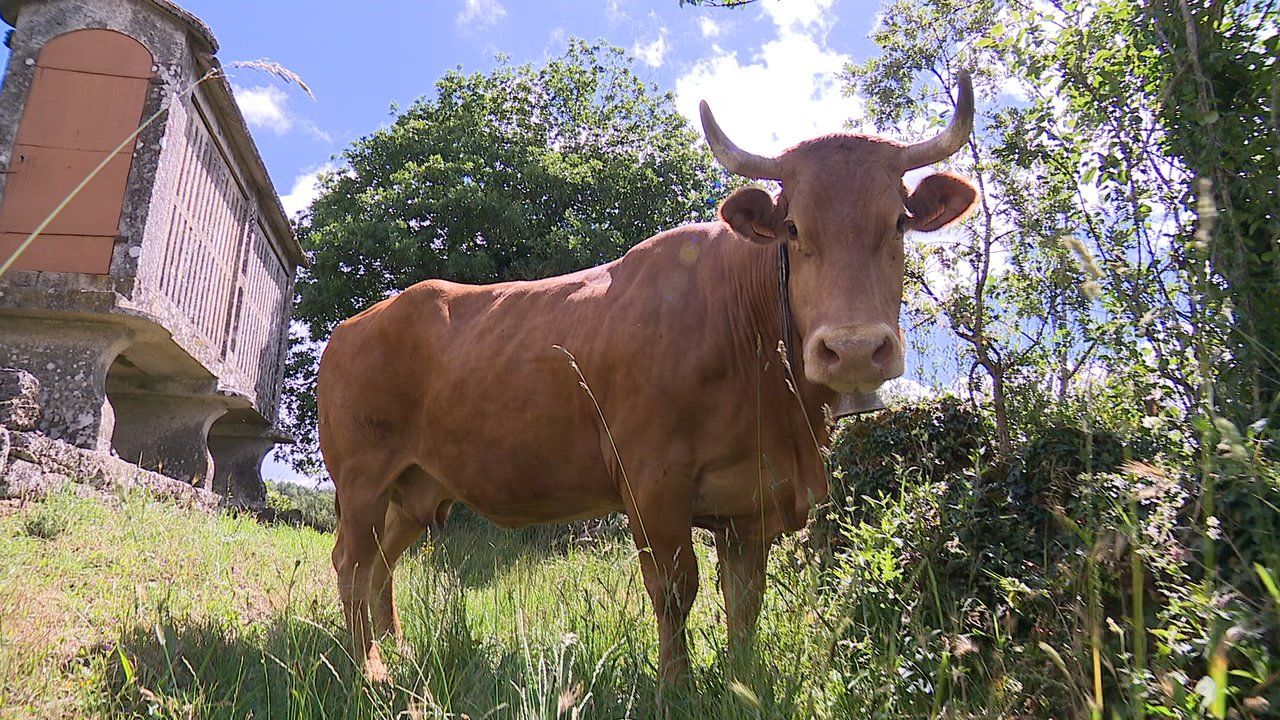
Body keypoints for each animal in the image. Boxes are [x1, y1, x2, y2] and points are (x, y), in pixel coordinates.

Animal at [317, 72, 978, 686]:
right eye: (793, 228)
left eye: (899, 223)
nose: (855, 349)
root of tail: (356, 324)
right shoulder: (652, 481)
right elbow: (674, 588)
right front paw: (675, 686)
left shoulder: (753, 500)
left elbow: (744, 601)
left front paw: (742, 679)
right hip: (362, 477)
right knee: (351, 564)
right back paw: (369, 669)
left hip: (415, 485)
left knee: (381, 563)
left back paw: (398, 652)